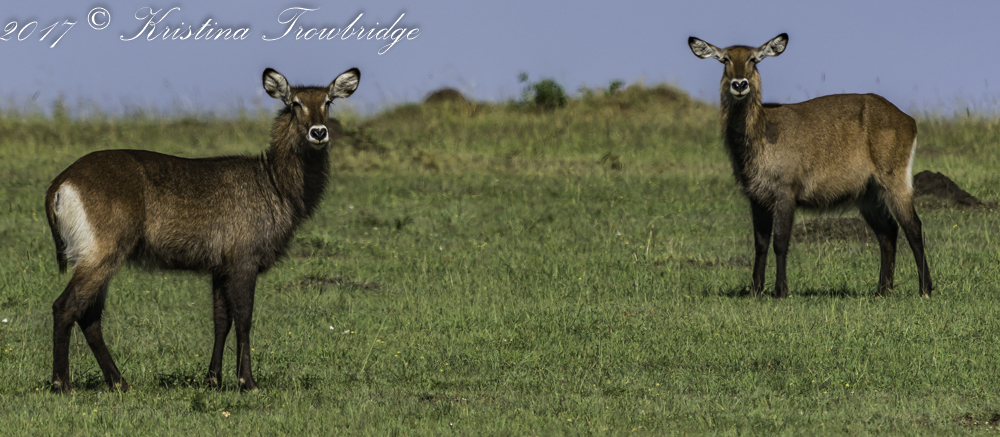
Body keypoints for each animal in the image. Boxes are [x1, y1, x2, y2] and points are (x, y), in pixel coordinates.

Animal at [44, 67, 360, 392]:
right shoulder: (243, 261)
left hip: (96, 256)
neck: (274, 184)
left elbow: (221, 321)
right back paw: (62, 383)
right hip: (102, 253)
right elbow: (244, 319)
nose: (318, 132)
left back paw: (119, 382)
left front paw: (213, 378)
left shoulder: (219, 268)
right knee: (65, 306)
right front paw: (247, 381)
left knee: (90, 317)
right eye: (295, 103)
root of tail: (60, 183)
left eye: (328, 102)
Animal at [687, 33, 932, 298]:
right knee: (888, 232)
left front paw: (781, 290)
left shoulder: (786, 190)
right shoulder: (757, 197)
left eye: (753, 59)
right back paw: (882, 290)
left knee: (913, 227)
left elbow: (780, 241)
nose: (740, 84)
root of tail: (908, 120)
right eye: (725, 59)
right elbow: (760, 244)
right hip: (867, 193)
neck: (760, 133)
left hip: (894, 179)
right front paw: (755, 290)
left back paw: (925, 289)